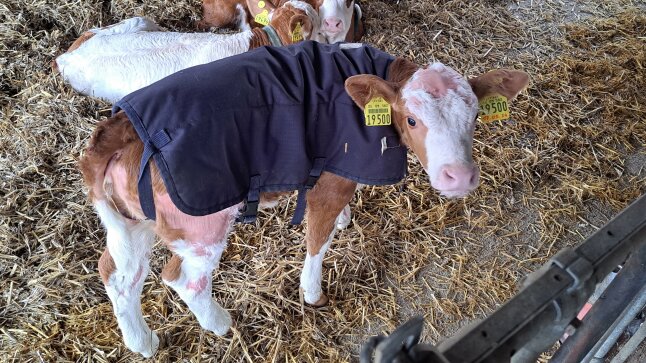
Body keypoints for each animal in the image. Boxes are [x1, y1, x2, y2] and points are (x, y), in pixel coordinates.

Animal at [78, 41, 528, 356]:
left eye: (475, 117)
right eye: (412, 120)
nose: (460, 177)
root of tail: (120, 126)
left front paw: (346, 219)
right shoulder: (330, 180)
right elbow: (317, 238)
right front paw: (313, 294)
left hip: (134, 220)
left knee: (117, 274)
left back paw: (142, 342)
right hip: (199, 224)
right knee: (183, 278)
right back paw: (219, 323)